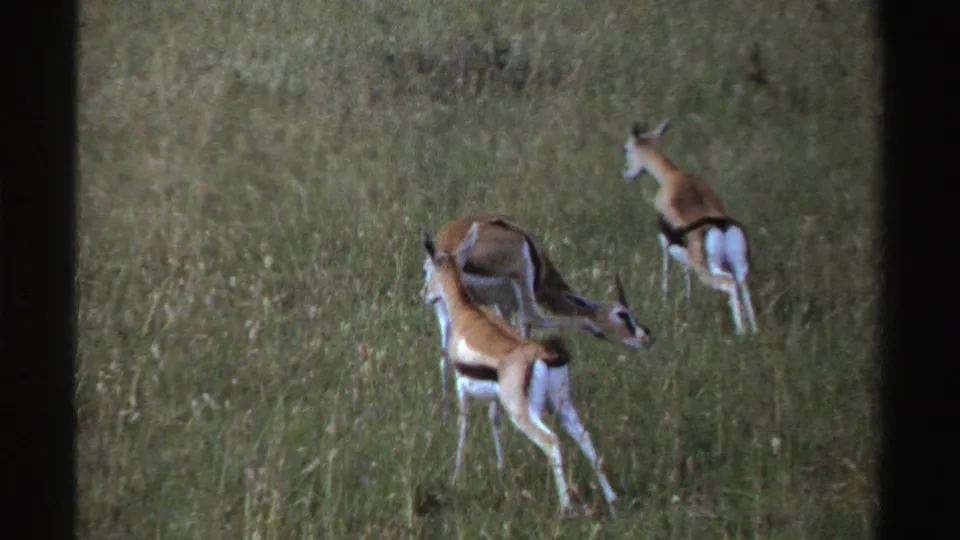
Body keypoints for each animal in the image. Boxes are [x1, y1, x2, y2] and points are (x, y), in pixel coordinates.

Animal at [421, 223, 619, 519]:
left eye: (427, 269)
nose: (424, 295)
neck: (467, 314)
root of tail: (546, 355)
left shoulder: (462, 386)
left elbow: (464, 427)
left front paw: (456, 479)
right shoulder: (494, 397)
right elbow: (495, 420)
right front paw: (501, 470)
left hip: (525, 413)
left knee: (551, 441)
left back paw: (566, 508)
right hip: (561, 406)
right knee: (586, 440)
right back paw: (612, 500)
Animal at [429, 212, 655, 410]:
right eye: (623, 314)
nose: (647, 337)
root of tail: (450, 247)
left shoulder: (503, 306)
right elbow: (528, 326)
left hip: (445, 306)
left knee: (444, 356)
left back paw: (447, 412)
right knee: (534, 317)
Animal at [622, 119, 758, 334]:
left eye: (626, 149)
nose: (627, 174)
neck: (674, 175)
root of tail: (721, 226)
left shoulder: (666, 242)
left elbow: (666, 272)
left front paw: (664, 304)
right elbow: (687, 276)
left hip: (708, 269)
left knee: (729, 284)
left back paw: (740, 332)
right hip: (739, 265)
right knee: (744, 288)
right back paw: (754, 331)